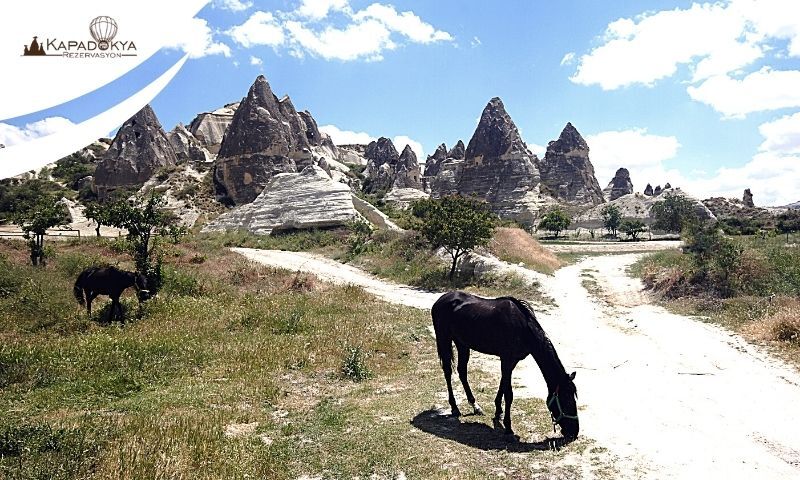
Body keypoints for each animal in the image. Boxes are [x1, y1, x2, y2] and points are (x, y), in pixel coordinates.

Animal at [434, 290, 580, 440]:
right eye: (566, 399)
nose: (574, 432)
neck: (523, 327)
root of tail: (442, 299)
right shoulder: (506, 359)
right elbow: (509, 393)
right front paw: (508, 427)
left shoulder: (511, 361)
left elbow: (502, 385)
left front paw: (498, 411)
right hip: (444, 339)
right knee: (447, 371)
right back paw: (454, 407)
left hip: (462, 344)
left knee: (462, 371)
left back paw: (475, 406)